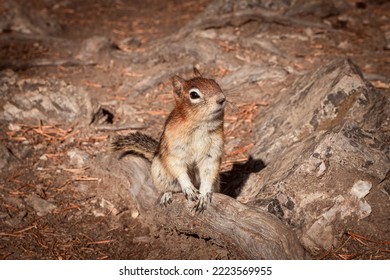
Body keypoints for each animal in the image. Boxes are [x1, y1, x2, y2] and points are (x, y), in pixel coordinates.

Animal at [112, 68, 225, 212]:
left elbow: (208, 171)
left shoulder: (212, 152)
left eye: (214, 82)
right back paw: (167, 195)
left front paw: (204, 195)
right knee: (168, 189)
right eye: (194, 95)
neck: (200, 125)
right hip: (160, 174)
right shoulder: (174, 149)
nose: (221, 99)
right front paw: (189, 188)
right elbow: (178, 168)